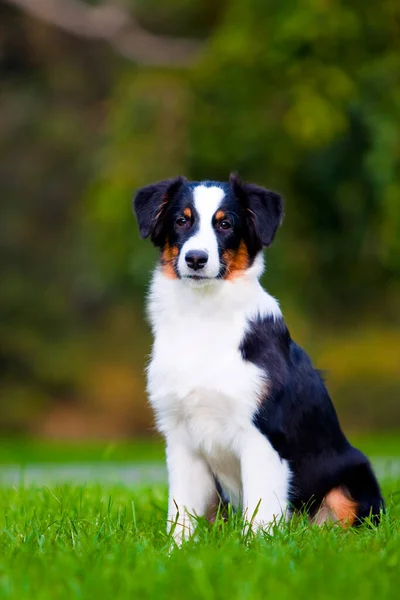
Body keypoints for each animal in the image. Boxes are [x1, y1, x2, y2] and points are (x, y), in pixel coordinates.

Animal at [134, 172, 384, 544]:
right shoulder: (180, 437)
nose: (196, 258)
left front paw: (254, 549)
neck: (203, 316)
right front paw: (176, 551)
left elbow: (261, 510)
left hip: (351, 479)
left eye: (226, 224)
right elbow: (181, 512)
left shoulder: (263, 434)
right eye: (181, 220)